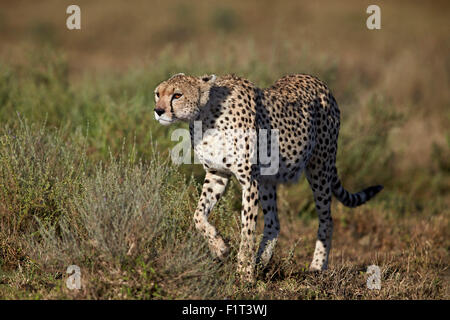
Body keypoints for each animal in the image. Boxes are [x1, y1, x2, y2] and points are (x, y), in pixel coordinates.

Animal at [153, 73, 382, 282]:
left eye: (177, 95)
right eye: (158, 94)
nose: (158, 111)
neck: (205, 115)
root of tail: (317, 80)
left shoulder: (249, 181)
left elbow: (247, 231)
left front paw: (244, 274)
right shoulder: (217, 173)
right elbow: (198, 215)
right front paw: (220, 248)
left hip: (319, 168)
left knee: (327, 220)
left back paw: (317, 266)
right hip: (268, 180)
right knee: (274, 222)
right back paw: (262, 260)